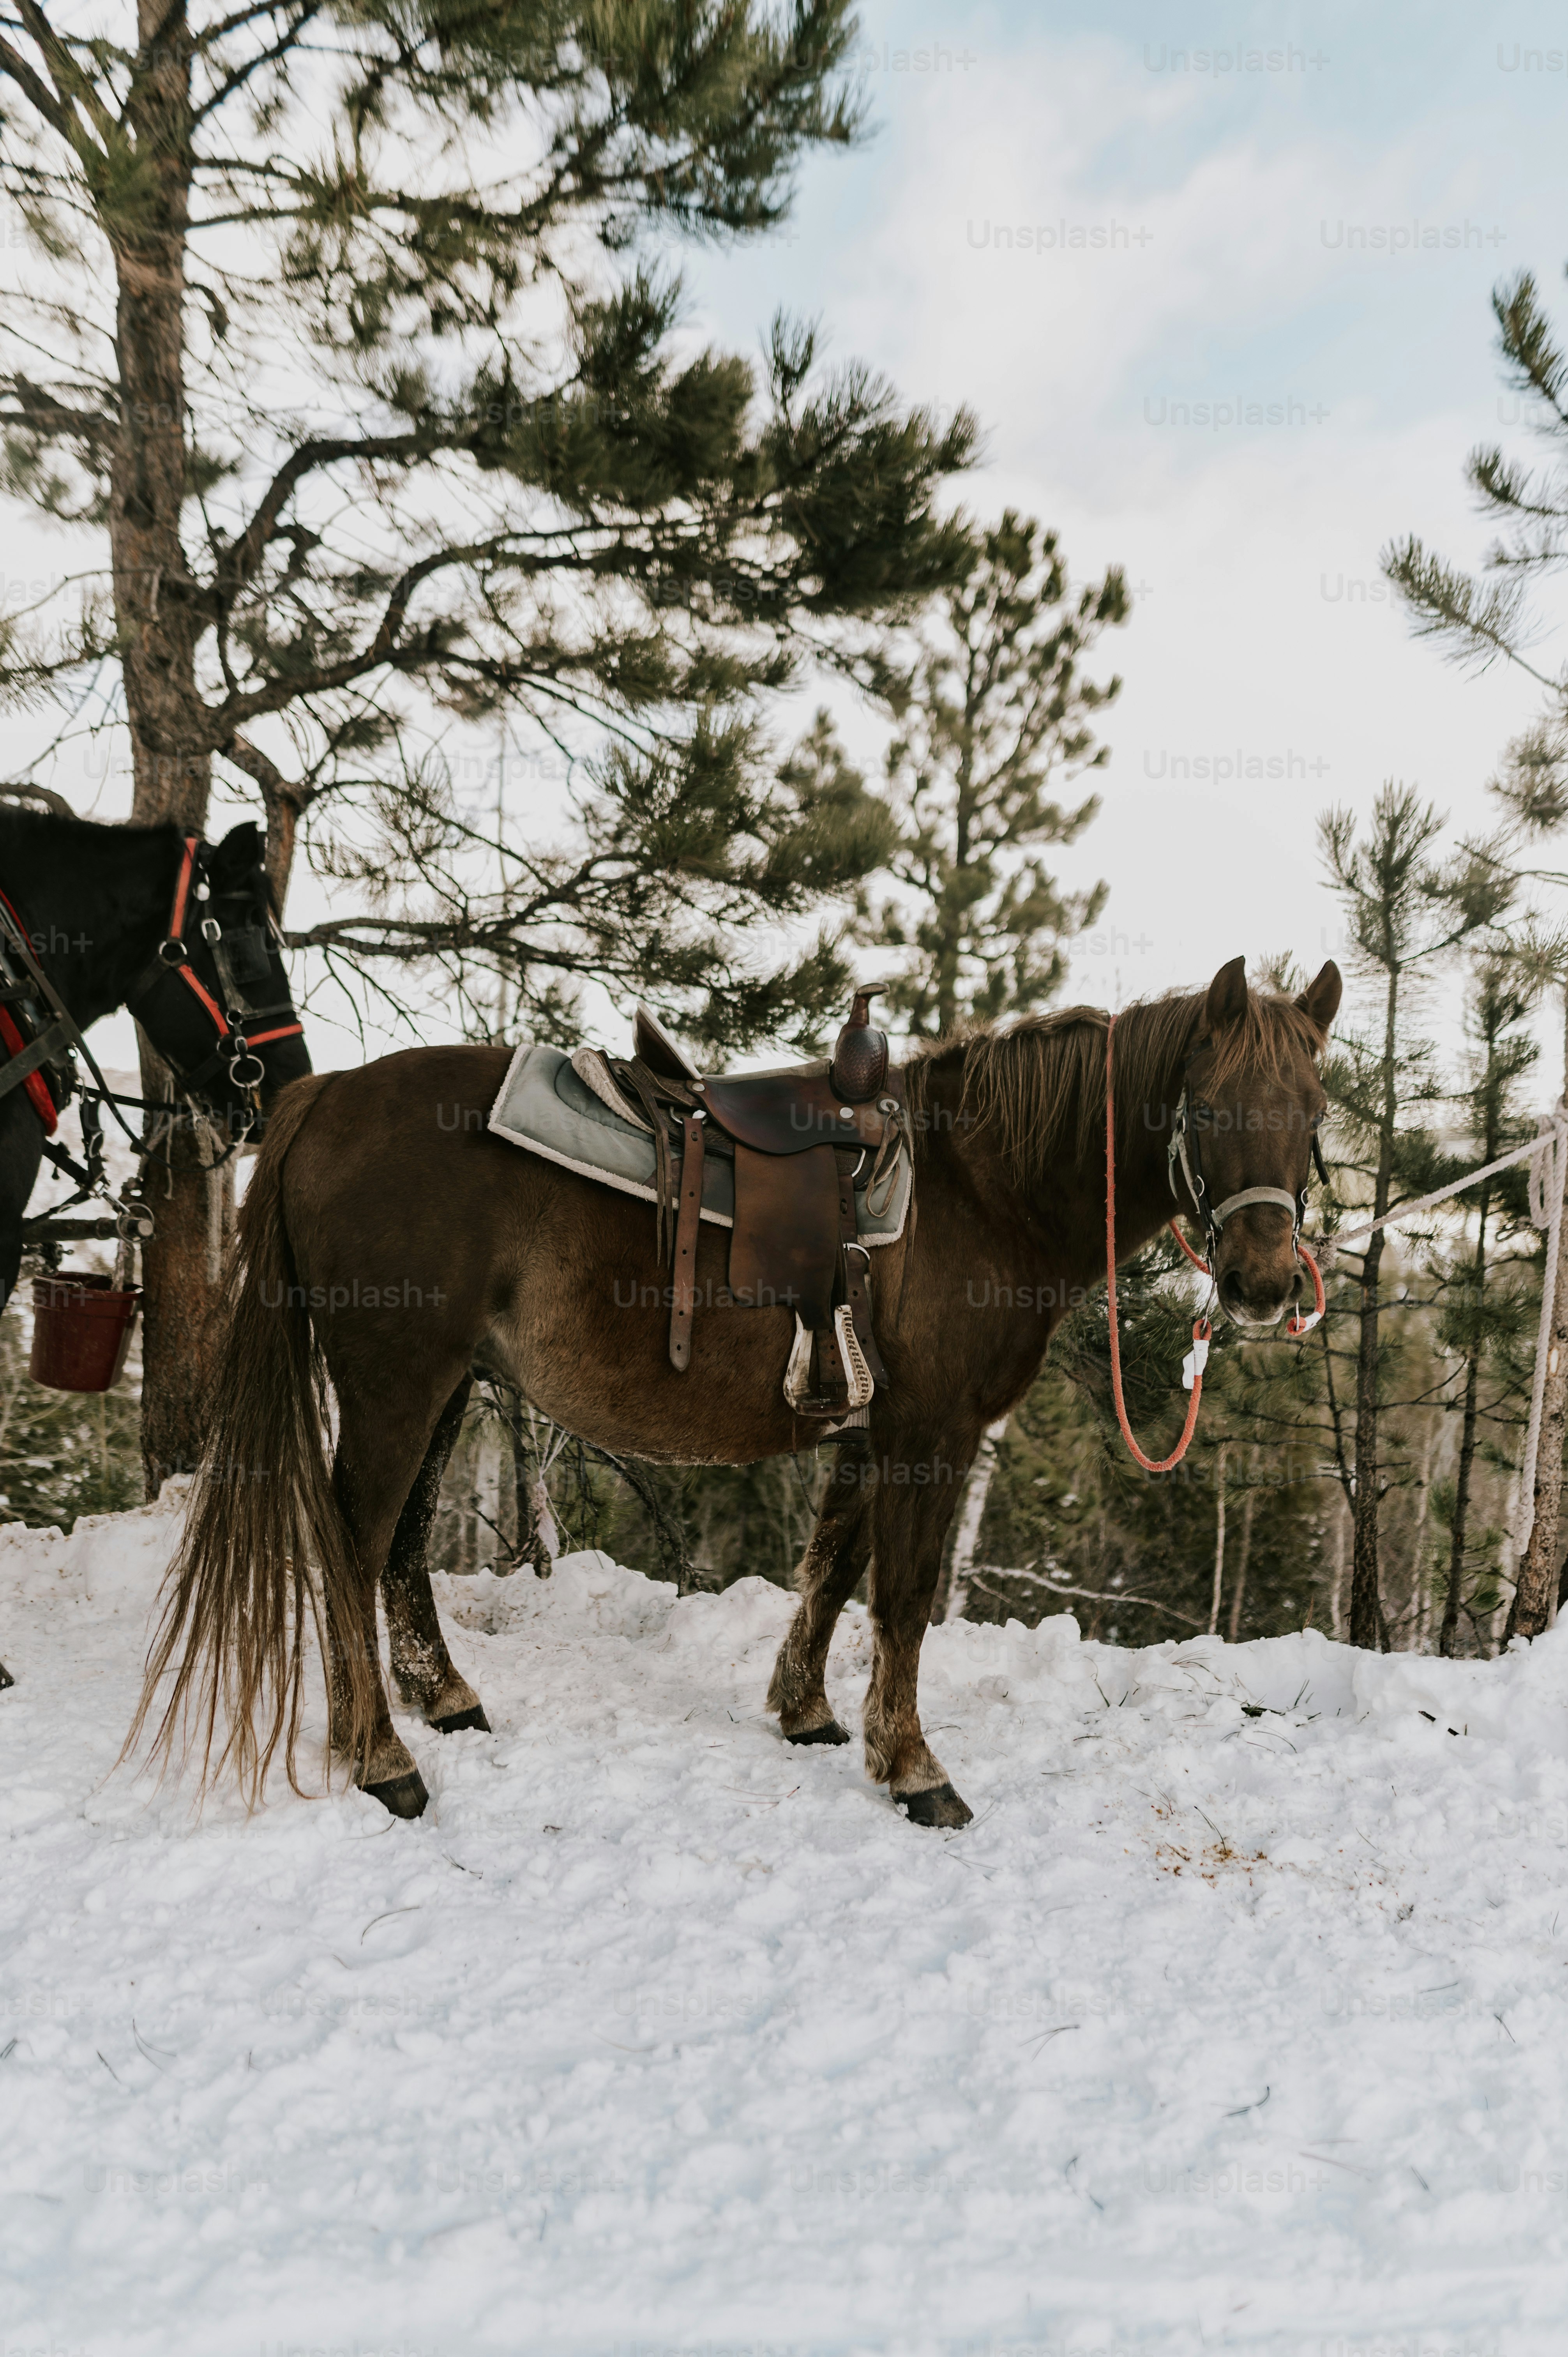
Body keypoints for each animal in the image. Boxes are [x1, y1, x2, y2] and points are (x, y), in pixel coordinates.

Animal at [132, 953, 1341, 1825]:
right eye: (1207, 1107)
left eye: (1316, 1111)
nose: (1263, 1281)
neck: (977, 1188)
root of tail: (327, 1096)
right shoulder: (933, 1431)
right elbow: (902, 1598)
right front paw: (915, 1770)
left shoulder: (868, 1427)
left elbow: (832, 1572)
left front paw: (809, 1715)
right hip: (396, 1382)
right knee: (351, 1540)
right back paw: (378, 1756)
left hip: (443, 1386)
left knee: (400, 1543)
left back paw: (442, 1700)